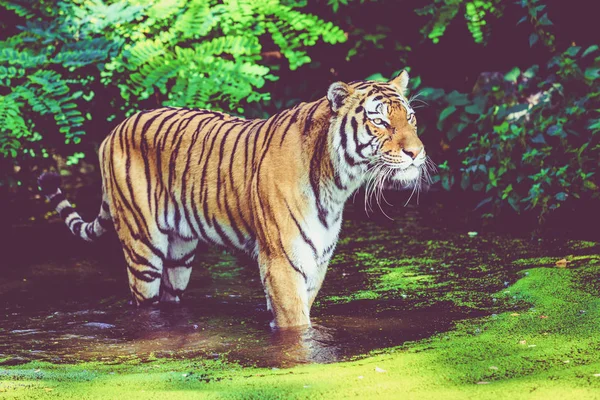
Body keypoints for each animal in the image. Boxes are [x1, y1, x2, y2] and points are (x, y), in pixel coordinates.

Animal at [38, 71, 432, 328]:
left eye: (411, 118)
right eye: (380, 122)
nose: (417, 153)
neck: (338, 182)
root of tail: (113, 131)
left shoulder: (316, 261)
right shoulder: (281, 261)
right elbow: (296, 325)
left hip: (180, 253)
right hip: (142, 248)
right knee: (143, 304)